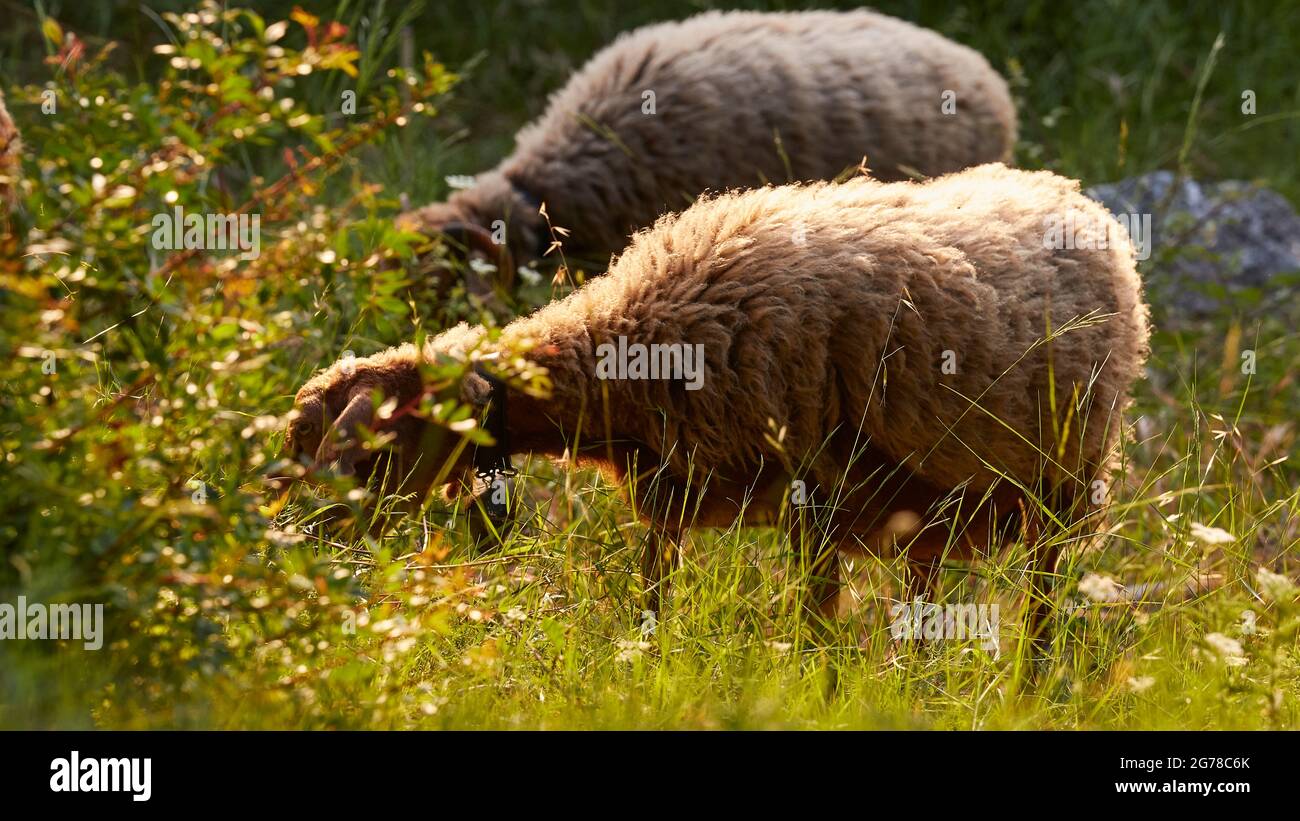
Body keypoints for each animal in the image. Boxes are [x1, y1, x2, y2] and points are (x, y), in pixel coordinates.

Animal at [292, 163, 1149, 644]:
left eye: (380, 442)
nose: (317, 543)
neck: (626, 342)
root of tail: (1071, 193)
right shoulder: (672, 486)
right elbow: (651, 595)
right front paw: (646, 666)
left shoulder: (811, 486)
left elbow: (813, 628)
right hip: (934, 503)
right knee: (924, 608)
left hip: (1063, 483)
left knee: (1041, 608)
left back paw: (1028, 685)